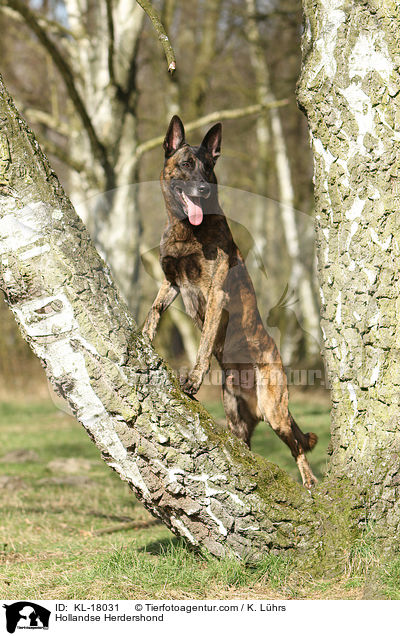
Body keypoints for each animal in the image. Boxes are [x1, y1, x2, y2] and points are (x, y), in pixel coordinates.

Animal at [142, 115, 318, 486]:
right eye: (186, 164)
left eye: (209, 168)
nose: (204, 189)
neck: (188, 230)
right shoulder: (172, 282)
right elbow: (154, 310)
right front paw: (145, 336)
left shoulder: (215, 295)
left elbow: (205, 342)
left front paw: (193, 379)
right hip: (236, 419)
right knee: (247, 448)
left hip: (275, 409)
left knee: (297, 444)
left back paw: (310, 482)